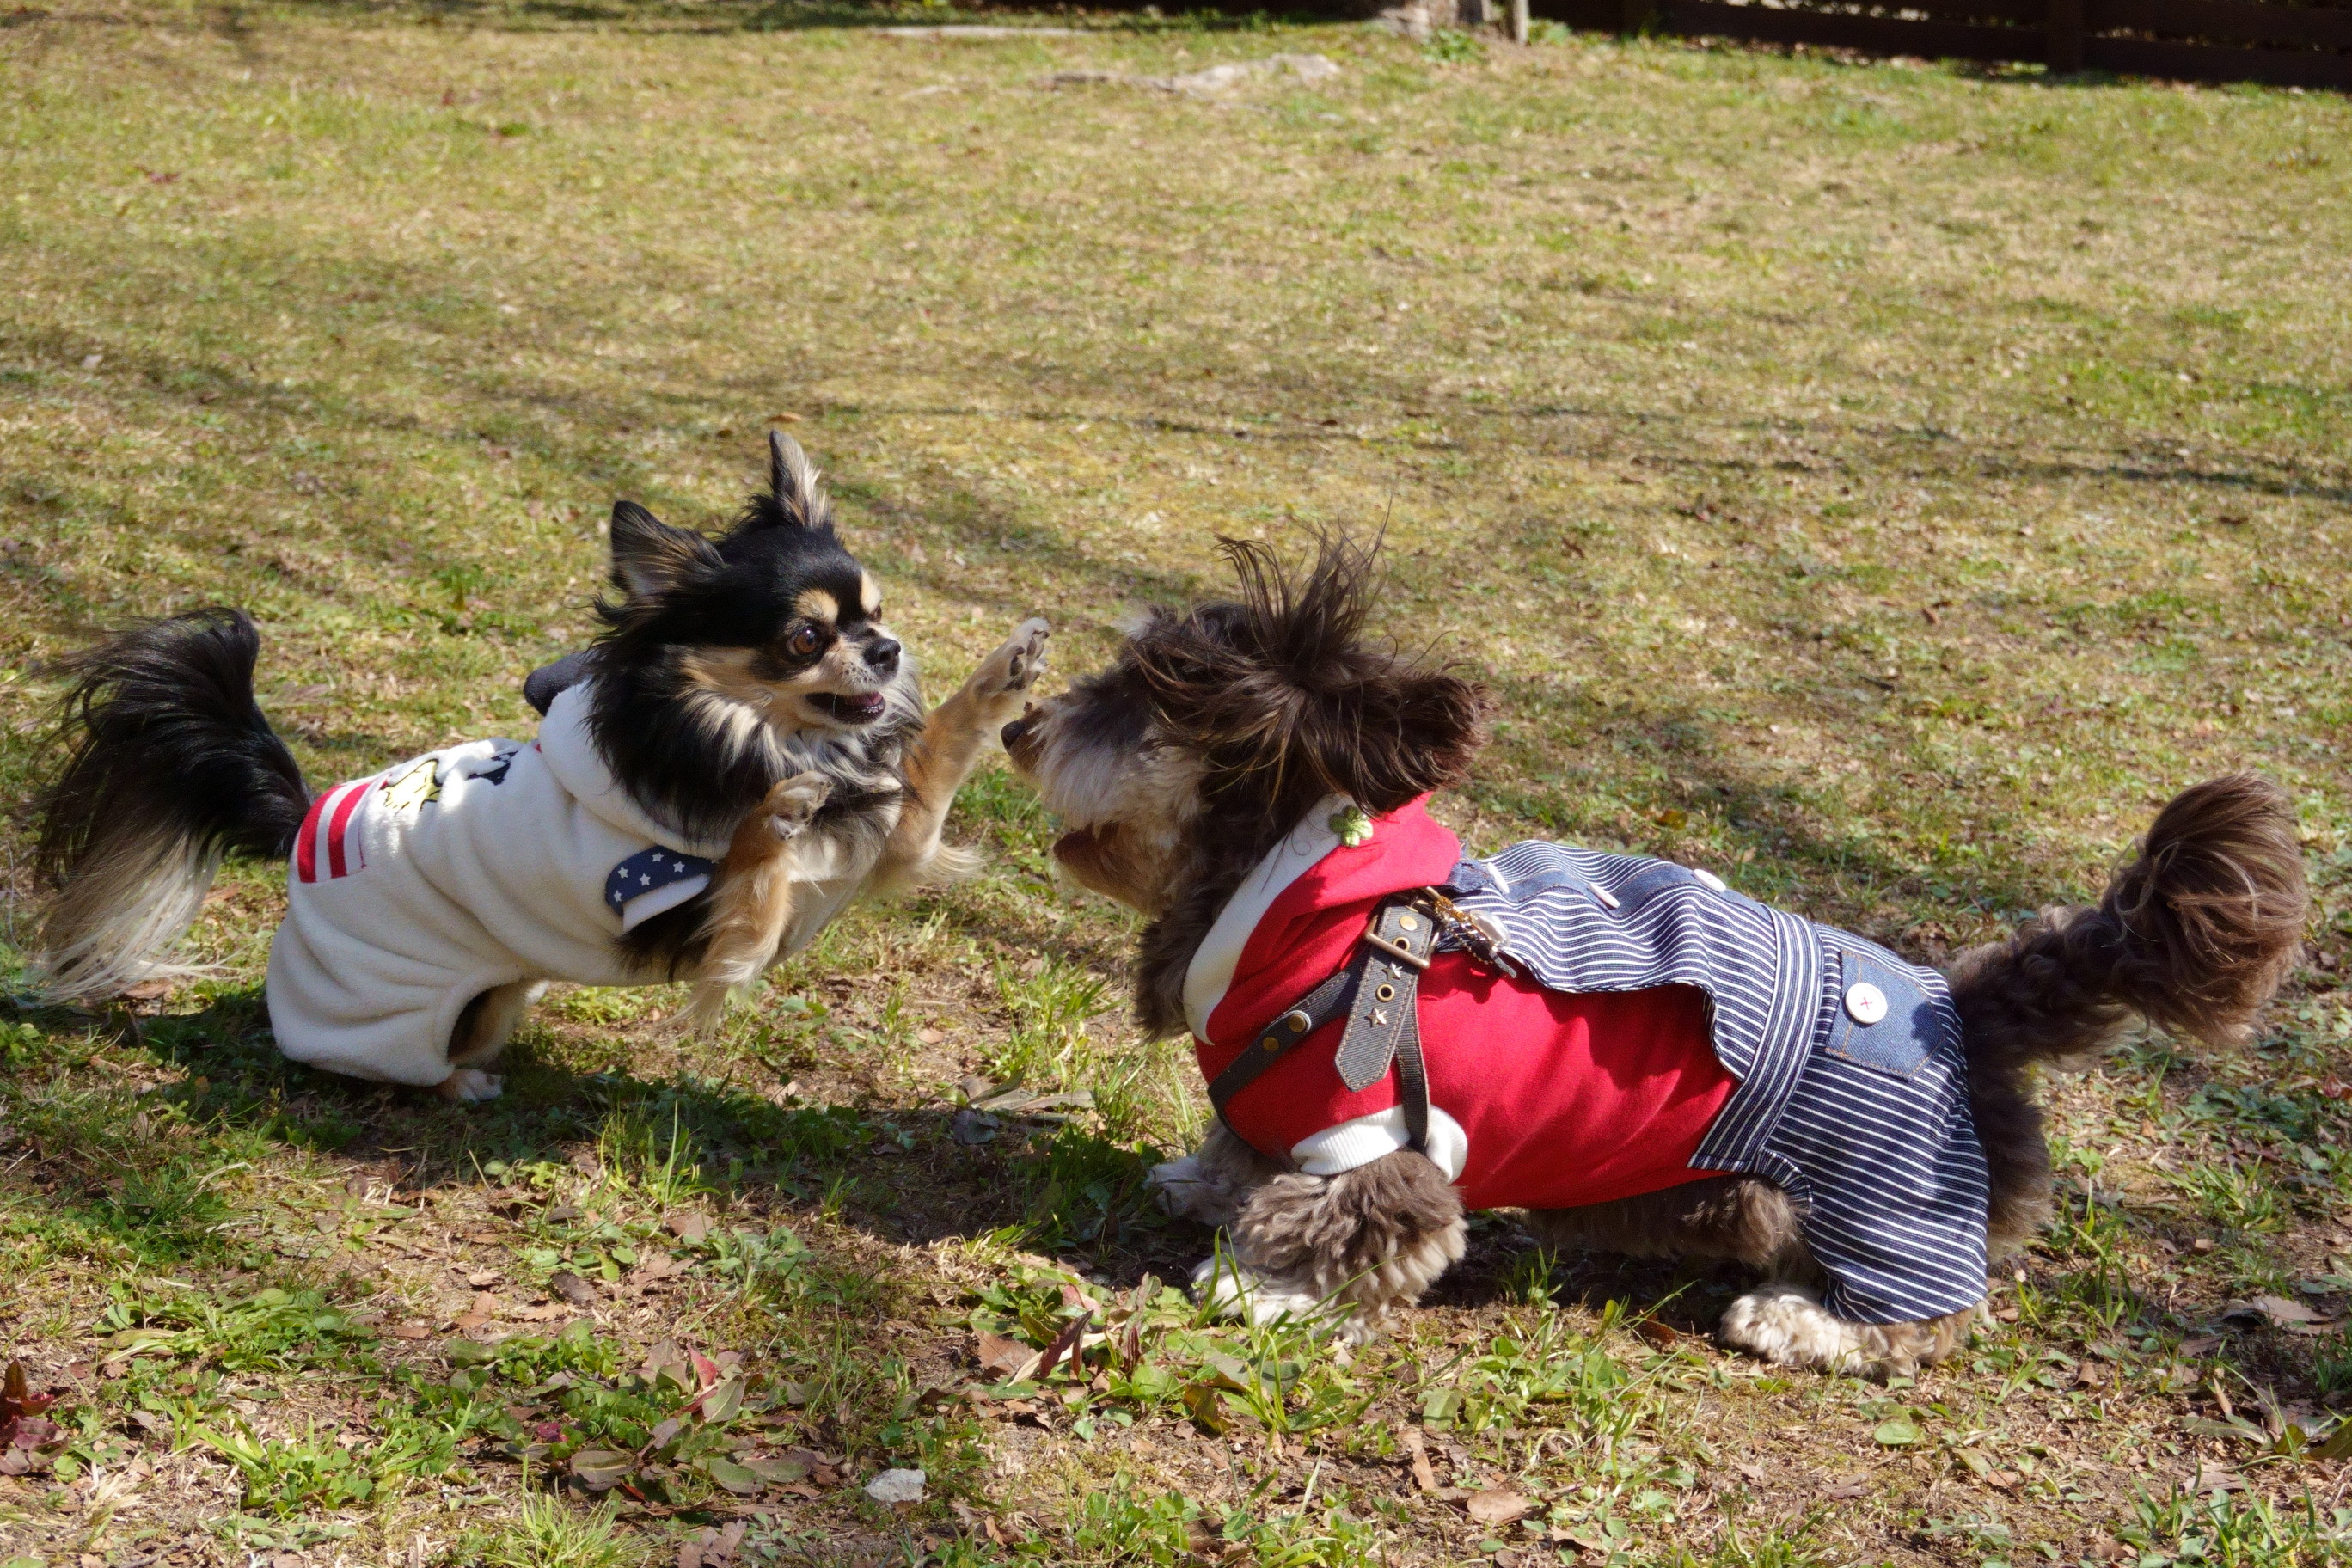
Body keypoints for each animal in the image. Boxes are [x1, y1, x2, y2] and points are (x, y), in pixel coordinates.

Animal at [1001, 536, 2305, 1373]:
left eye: (1141, 698)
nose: (1018, 726)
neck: (1303, 908)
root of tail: (1962, 1004)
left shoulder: (1375, 1133)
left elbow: (1354, 1226)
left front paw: (1261, 1285)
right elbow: (1239, 1144)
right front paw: (1205, 1182)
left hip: (1891, 1198)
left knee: (1935, 1313)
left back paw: (1801, 1322)